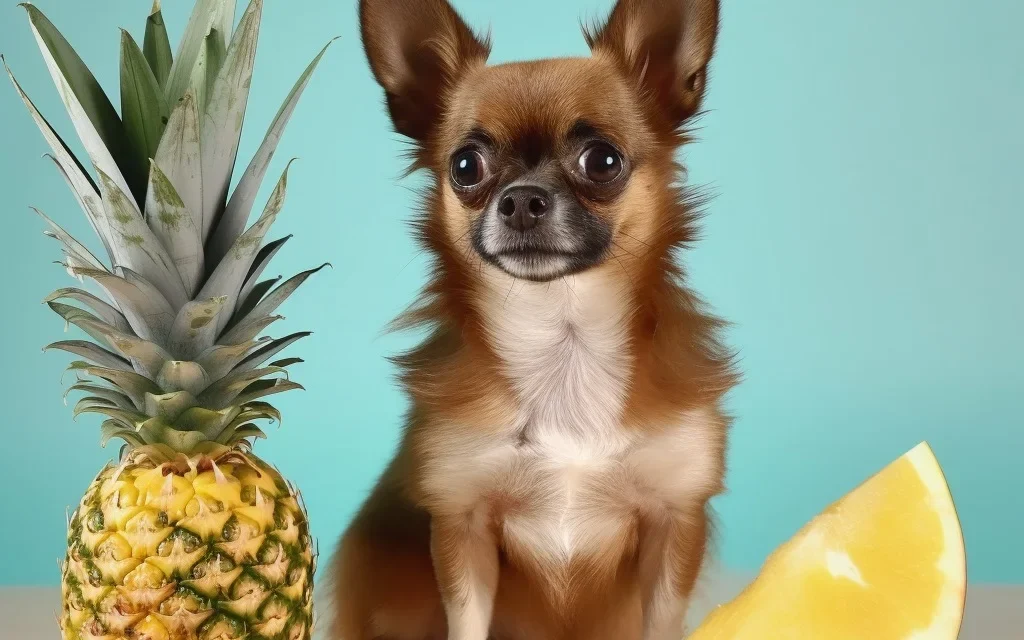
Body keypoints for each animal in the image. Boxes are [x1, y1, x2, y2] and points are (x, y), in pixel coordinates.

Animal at [327, 0, 737, 634]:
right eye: (465, 166)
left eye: (603, 161)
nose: (521, 199)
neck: (562, 343)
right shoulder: (462, 527)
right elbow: (466, 623)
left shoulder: (674, 524)